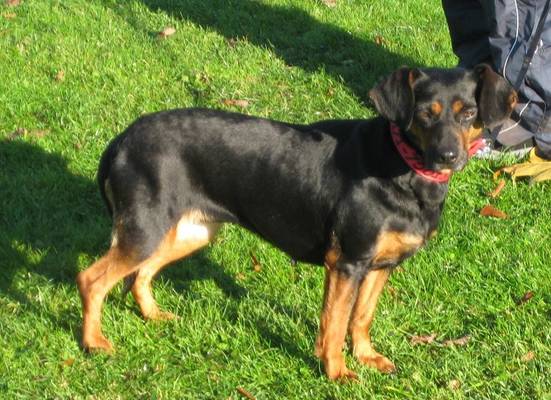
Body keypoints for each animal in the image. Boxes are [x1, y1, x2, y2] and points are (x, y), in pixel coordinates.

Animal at [77, 64, 516, 381]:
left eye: (469, 113)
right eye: (425, 114)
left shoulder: (380, 266)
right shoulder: (346, 263)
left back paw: (153, 315)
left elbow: (361, 318)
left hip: (188, 230)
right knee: (92, 279)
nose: (448, 157)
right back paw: (93, 342)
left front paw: (366, 357)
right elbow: (334, 325)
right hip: (147, 228)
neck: (402, 167)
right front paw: (337, 373)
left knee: (141, 273)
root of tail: (121, 140)